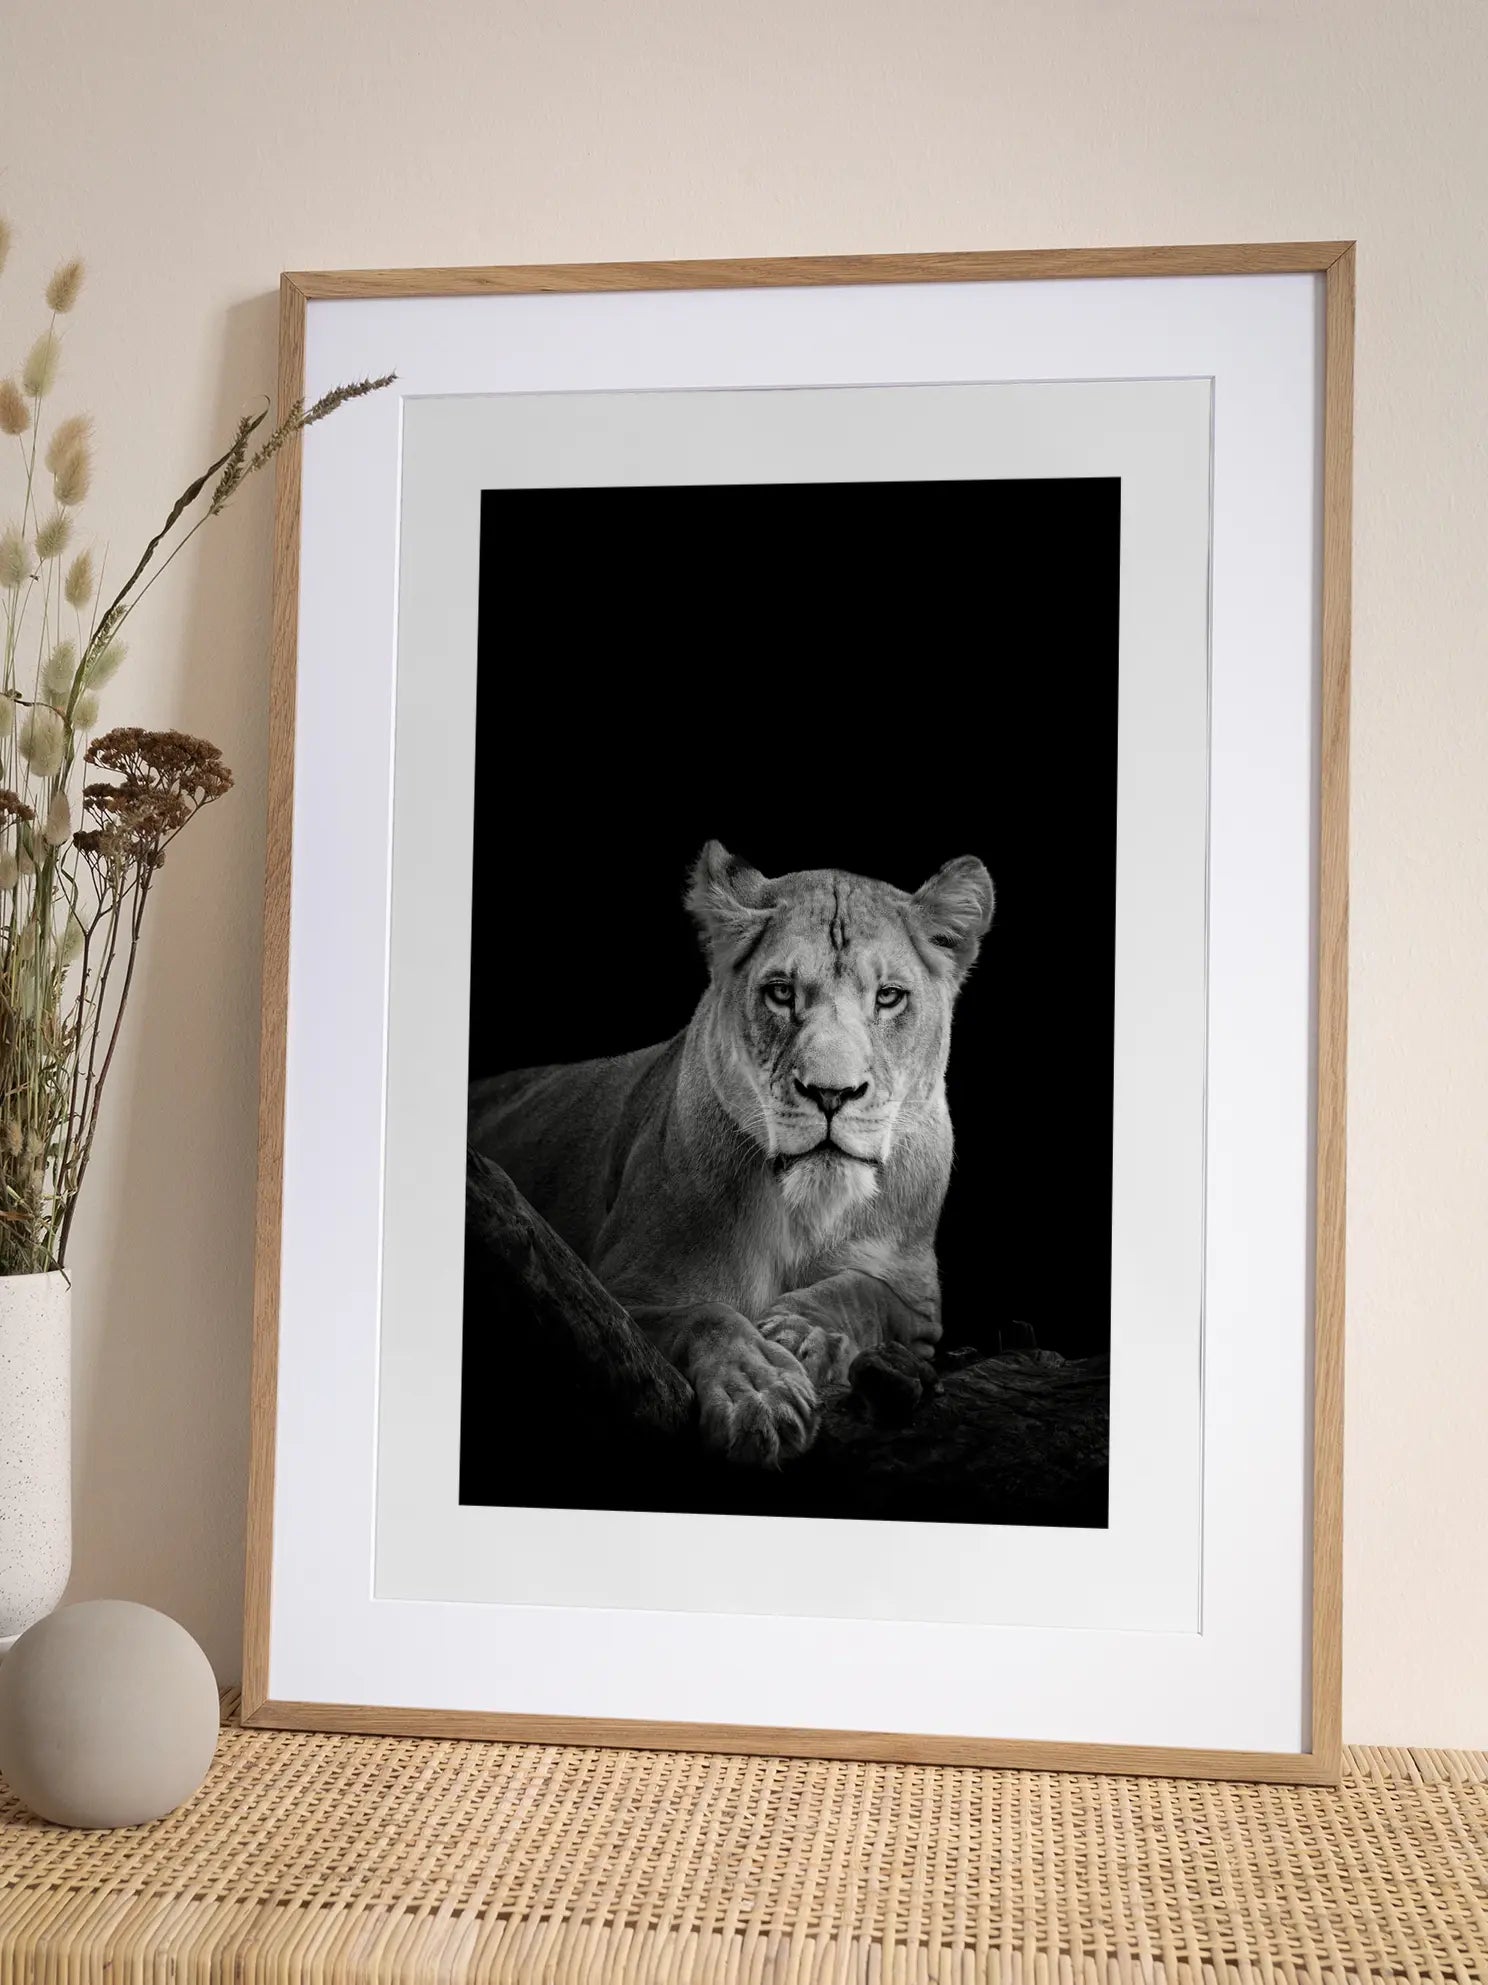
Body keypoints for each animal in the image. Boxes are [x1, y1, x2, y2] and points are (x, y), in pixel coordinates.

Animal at [469, 841, 994, 1466]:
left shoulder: (920, 1307)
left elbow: (866, 1291)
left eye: (889, 998)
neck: (805, 1212)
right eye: (781, 992)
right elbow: (707, 1314)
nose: (831, 1093)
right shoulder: (612, 1299)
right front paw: (759, 1391)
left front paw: (802, 1332)